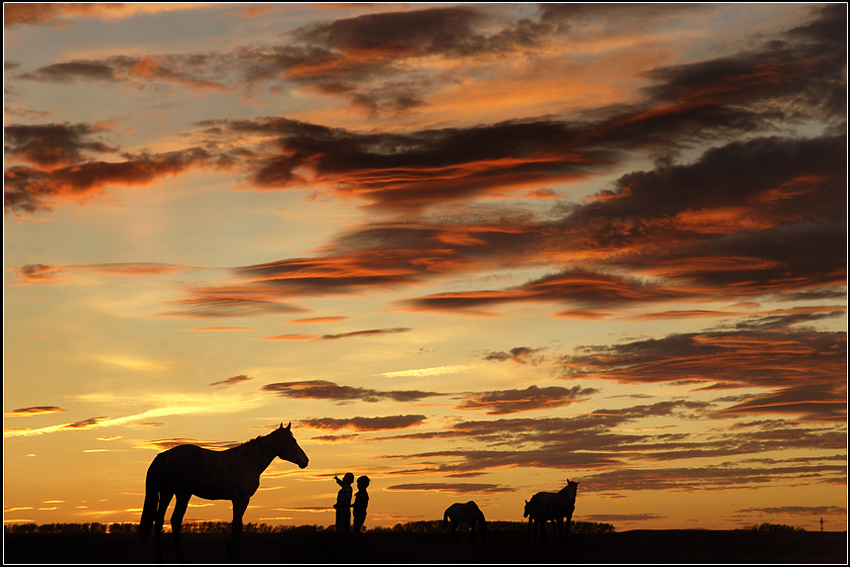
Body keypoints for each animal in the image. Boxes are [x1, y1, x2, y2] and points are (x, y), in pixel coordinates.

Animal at [139, 422, 308, 564]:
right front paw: (234, 552)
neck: (248, 460)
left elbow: (238, 522)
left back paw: (159, 556)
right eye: (293, 441)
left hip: (167, 493)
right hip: (183, 494)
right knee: (175, 520)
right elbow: (237, 523)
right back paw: (183, 556)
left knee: (159, 520)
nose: (305, 461)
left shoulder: (237, 500)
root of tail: (167, 454)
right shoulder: (242, 499)